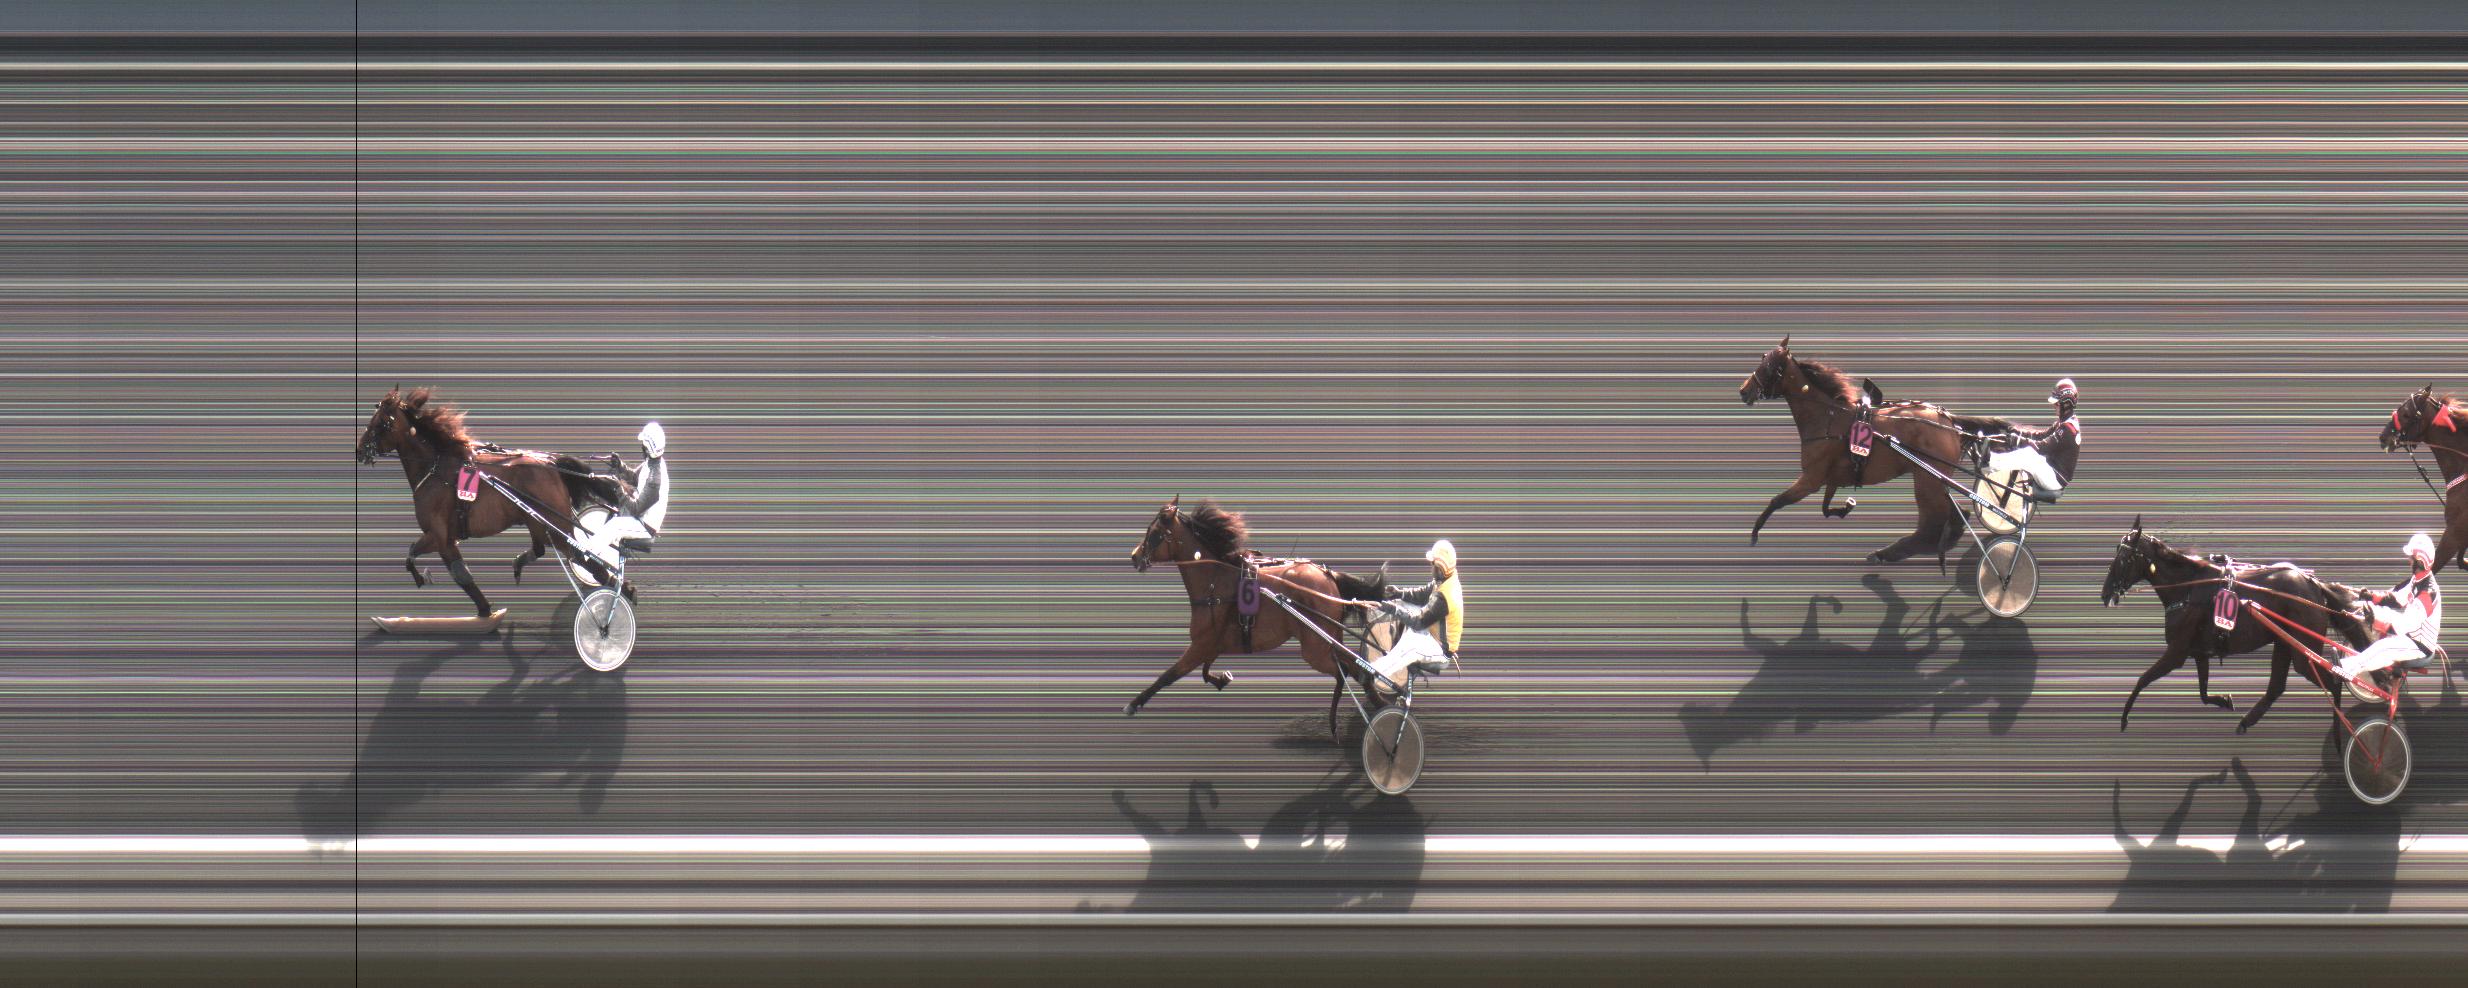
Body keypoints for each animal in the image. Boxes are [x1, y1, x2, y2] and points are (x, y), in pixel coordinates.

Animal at [356, 387, 628, 617]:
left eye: (380, 423)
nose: (359, 450)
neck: (435, 470)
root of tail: (550, 463)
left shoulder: (440, 536)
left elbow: (437, 564)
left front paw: (481, 609)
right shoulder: (446, 537)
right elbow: (429, 561)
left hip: (554, 525)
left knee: (583, 557)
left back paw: (624, 591)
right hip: (535, 520)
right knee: (542, 548)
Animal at [1124, 496, 1393, 742]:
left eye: (1154, 533)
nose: (1134, 556)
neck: (1215, 583)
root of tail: (1327, 575)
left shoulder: (1200, 645)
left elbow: (1168, 675)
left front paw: (1133, 704)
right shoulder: (1212, 644)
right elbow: (1205, 672)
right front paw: (1223, 679)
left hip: (1315, 647)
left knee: (1345, 671)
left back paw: (1347, 720)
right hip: (1327, 639)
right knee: (1353, 669)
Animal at [1737, 337, 2015, 562]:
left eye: (1770, 366)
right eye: (1763, 358)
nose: (1743, 390)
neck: (1827, 417)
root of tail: (1949, 421)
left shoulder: (1811, 479)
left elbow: (1777, 501)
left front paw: (1753, 535)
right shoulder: (1831, 477)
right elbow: (1825, 509)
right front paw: (1845, 507)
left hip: (1926, 479)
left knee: (1933, 521)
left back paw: (1887, 553)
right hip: (1934, 479)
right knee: (1955, 515)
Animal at [2101, 517, 2371, 734]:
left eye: (2123, 558)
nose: (2104, 594)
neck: (2187, 588)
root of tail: (2314, 585)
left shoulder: (2176, 652)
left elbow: (2142, 679)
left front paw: (2124, 719)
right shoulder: (2199, 652)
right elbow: (2203, 693)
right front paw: (2225, 700)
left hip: (2303, 650)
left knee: (2334, 683)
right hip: (2284, 642)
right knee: (2277, 686)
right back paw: (2246, 721)